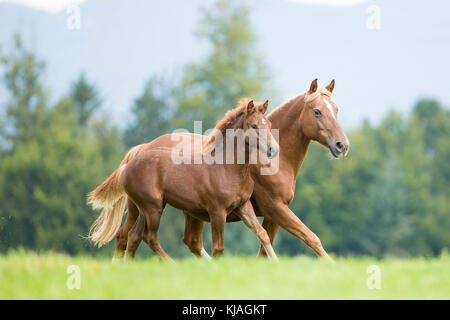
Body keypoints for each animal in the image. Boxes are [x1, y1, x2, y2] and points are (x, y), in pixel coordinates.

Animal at [87, 99, 278, 260]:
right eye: (254, 125)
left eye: (269, 124)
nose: (273, 149)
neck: (226, 168)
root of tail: (126, 167)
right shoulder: (217, 211)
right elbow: (218, 248)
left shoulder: (243, 206)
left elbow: (262, 234)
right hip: (152, 207)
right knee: (149, 237)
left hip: (145, 208)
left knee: (133, 236)